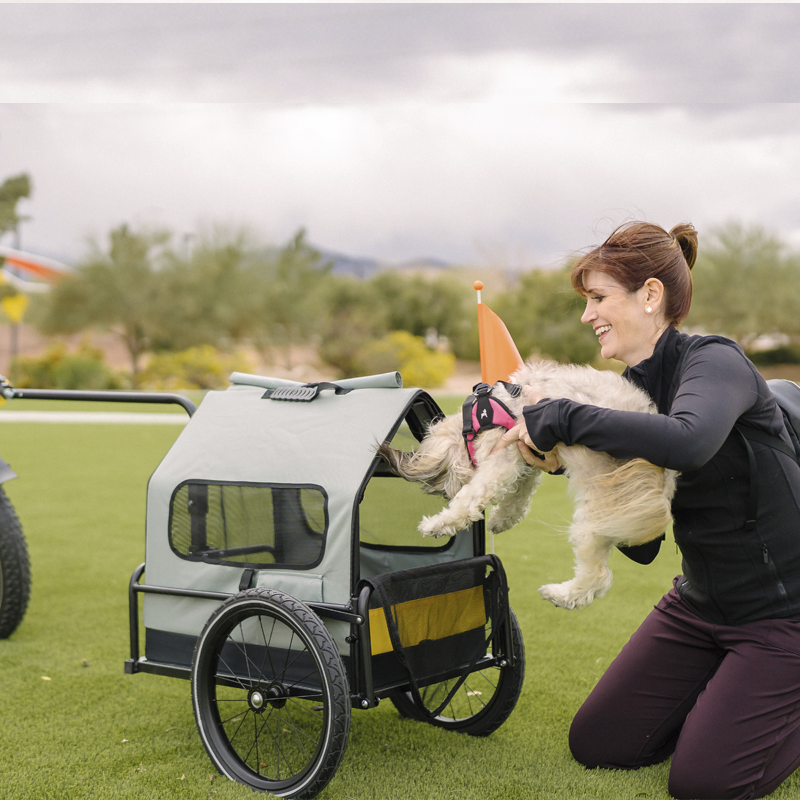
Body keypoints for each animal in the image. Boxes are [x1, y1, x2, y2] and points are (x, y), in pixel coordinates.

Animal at [378, 360, 680, 608]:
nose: (444, 495)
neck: (479, 415)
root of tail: (662, 479)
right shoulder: (527, 456)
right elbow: (518, 497)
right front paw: (502, 520)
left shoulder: (504, 454)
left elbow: (472, 497)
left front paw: (438, 524)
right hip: (603, 518)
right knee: (600, 578)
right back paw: (562, 594)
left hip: (596, 509)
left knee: (598, 576)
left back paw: (556, 594)